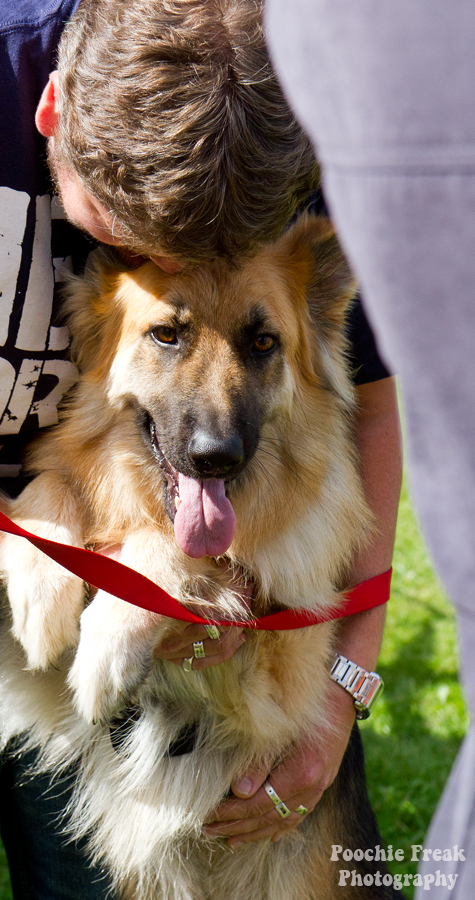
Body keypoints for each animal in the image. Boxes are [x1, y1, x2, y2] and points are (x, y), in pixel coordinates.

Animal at [0, 218, 400, 900]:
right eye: (167, 333)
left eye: (263, 342)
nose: (217, 457)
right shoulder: (33, 687)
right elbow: (56, 487)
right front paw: (40, 590)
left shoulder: (277, 680)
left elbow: (167, 547)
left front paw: (108, 638)